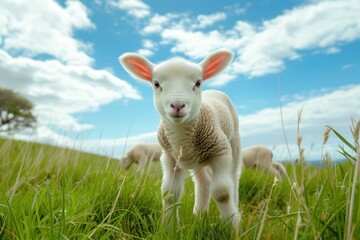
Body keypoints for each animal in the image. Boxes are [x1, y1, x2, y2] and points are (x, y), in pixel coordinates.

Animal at [119, 48, 242, 234]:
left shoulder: (221, 151)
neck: (182, 139)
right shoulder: (170, 157)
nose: (177, 105)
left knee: (233, 182)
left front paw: (232, 228)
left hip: (233, 144)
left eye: (198, 83)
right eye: (156, 84)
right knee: (204, 182)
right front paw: (168, 228)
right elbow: (170, 193)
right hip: (197, 160)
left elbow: (222, 193)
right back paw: (199, 215)